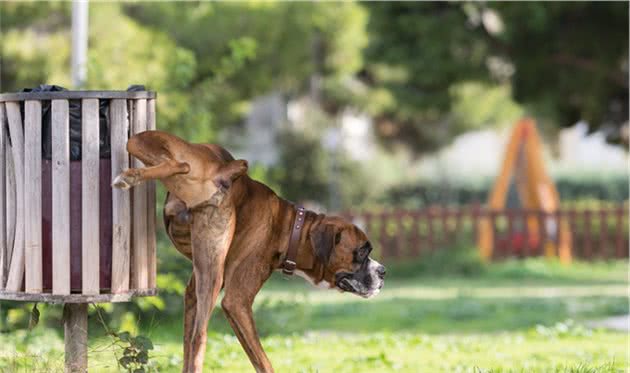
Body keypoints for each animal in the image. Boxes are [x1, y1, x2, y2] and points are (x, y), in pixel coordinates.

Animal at [115, 131, 388, 372]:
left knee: (175, 162)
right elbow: (262, 362)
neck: (290, 228)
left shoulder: (192, 293)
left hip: (144, 143)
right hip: (213, 278)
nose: (383, 271)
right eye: (362, 252)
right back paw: (128, 177)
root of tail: (223, 170)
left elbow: (186, 347)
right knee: (199, 338)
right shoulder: (237, 302)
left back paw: (132, 176)